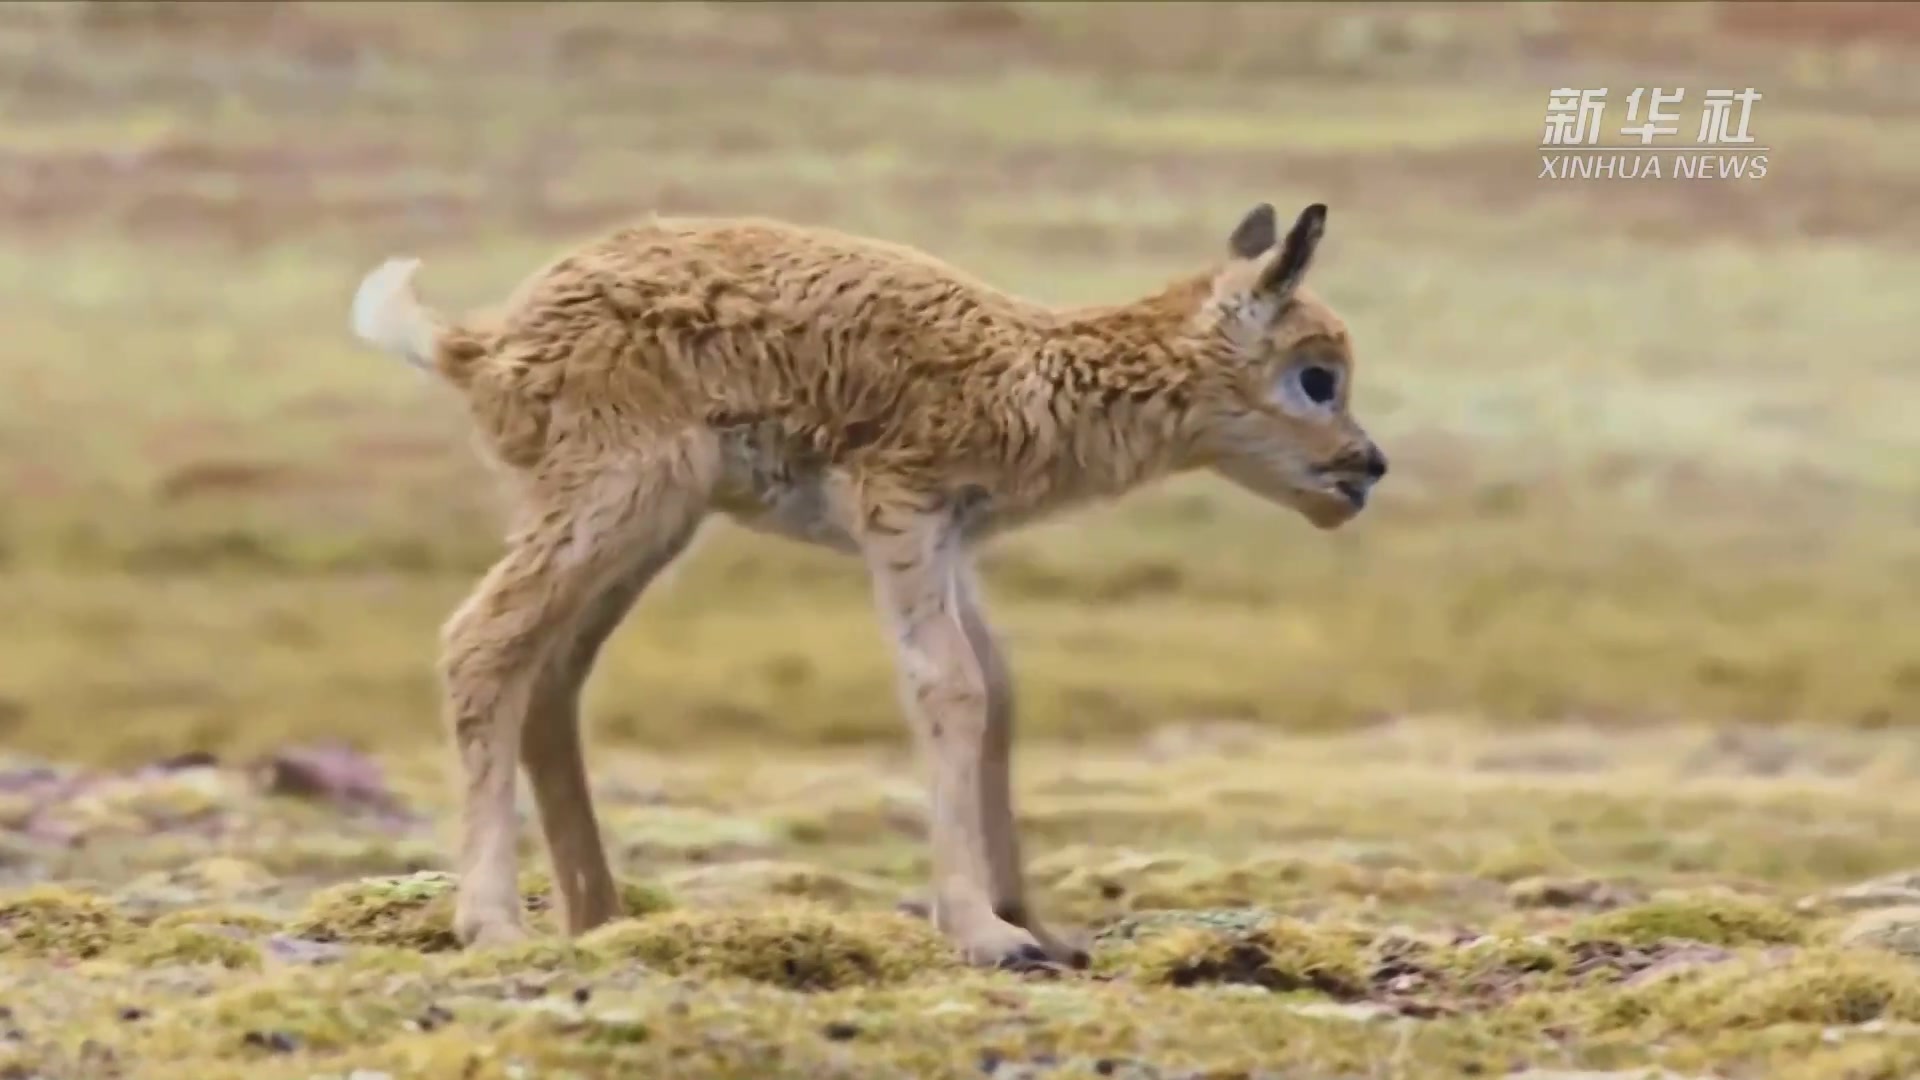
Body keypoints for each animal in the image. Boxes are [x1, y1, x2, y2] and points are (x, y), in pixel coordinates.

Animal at [353, 199, 1390, 968]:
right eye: (1316, 376)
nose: (1368, 468)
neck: (1032, 372)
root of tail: (480, 346)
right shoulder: (901, 509)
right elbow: (952, 689)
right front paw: (985, 932)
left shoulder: (953, 542)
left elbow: (999, 693)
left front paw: (1037, 926)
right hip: (616, 497)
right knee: (483, 642)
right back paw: (493, 922)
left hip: (646, 523)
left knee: (553, 676)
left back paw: (603, 917)